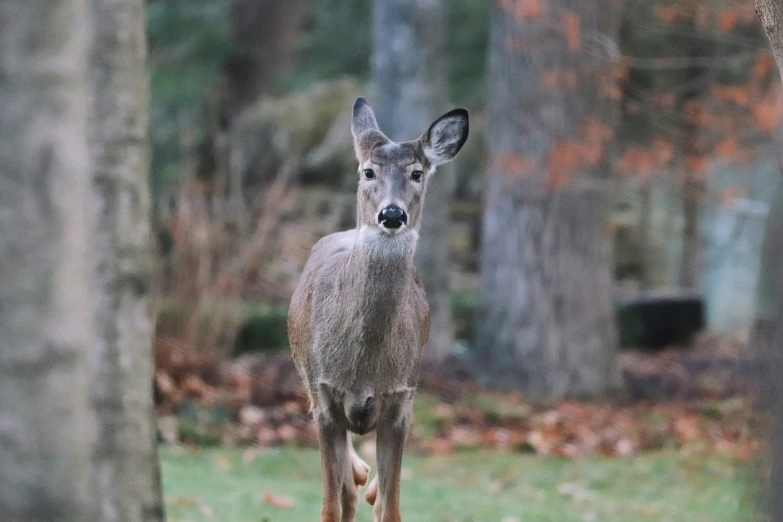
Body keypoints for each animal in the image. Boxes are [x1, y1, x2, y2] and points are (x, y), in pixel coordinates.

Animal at [290, 98, 468, 520]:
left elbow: (392, 510)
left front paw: (377, 491)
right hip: (308, 385)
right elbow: (330, 507)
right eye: (368, 171)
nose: (391, 214)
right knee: (346, 491)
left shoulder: (400, 403)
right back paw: (359, 474)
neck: (365, 368)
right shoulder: (324, 398)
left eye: (417, 173)